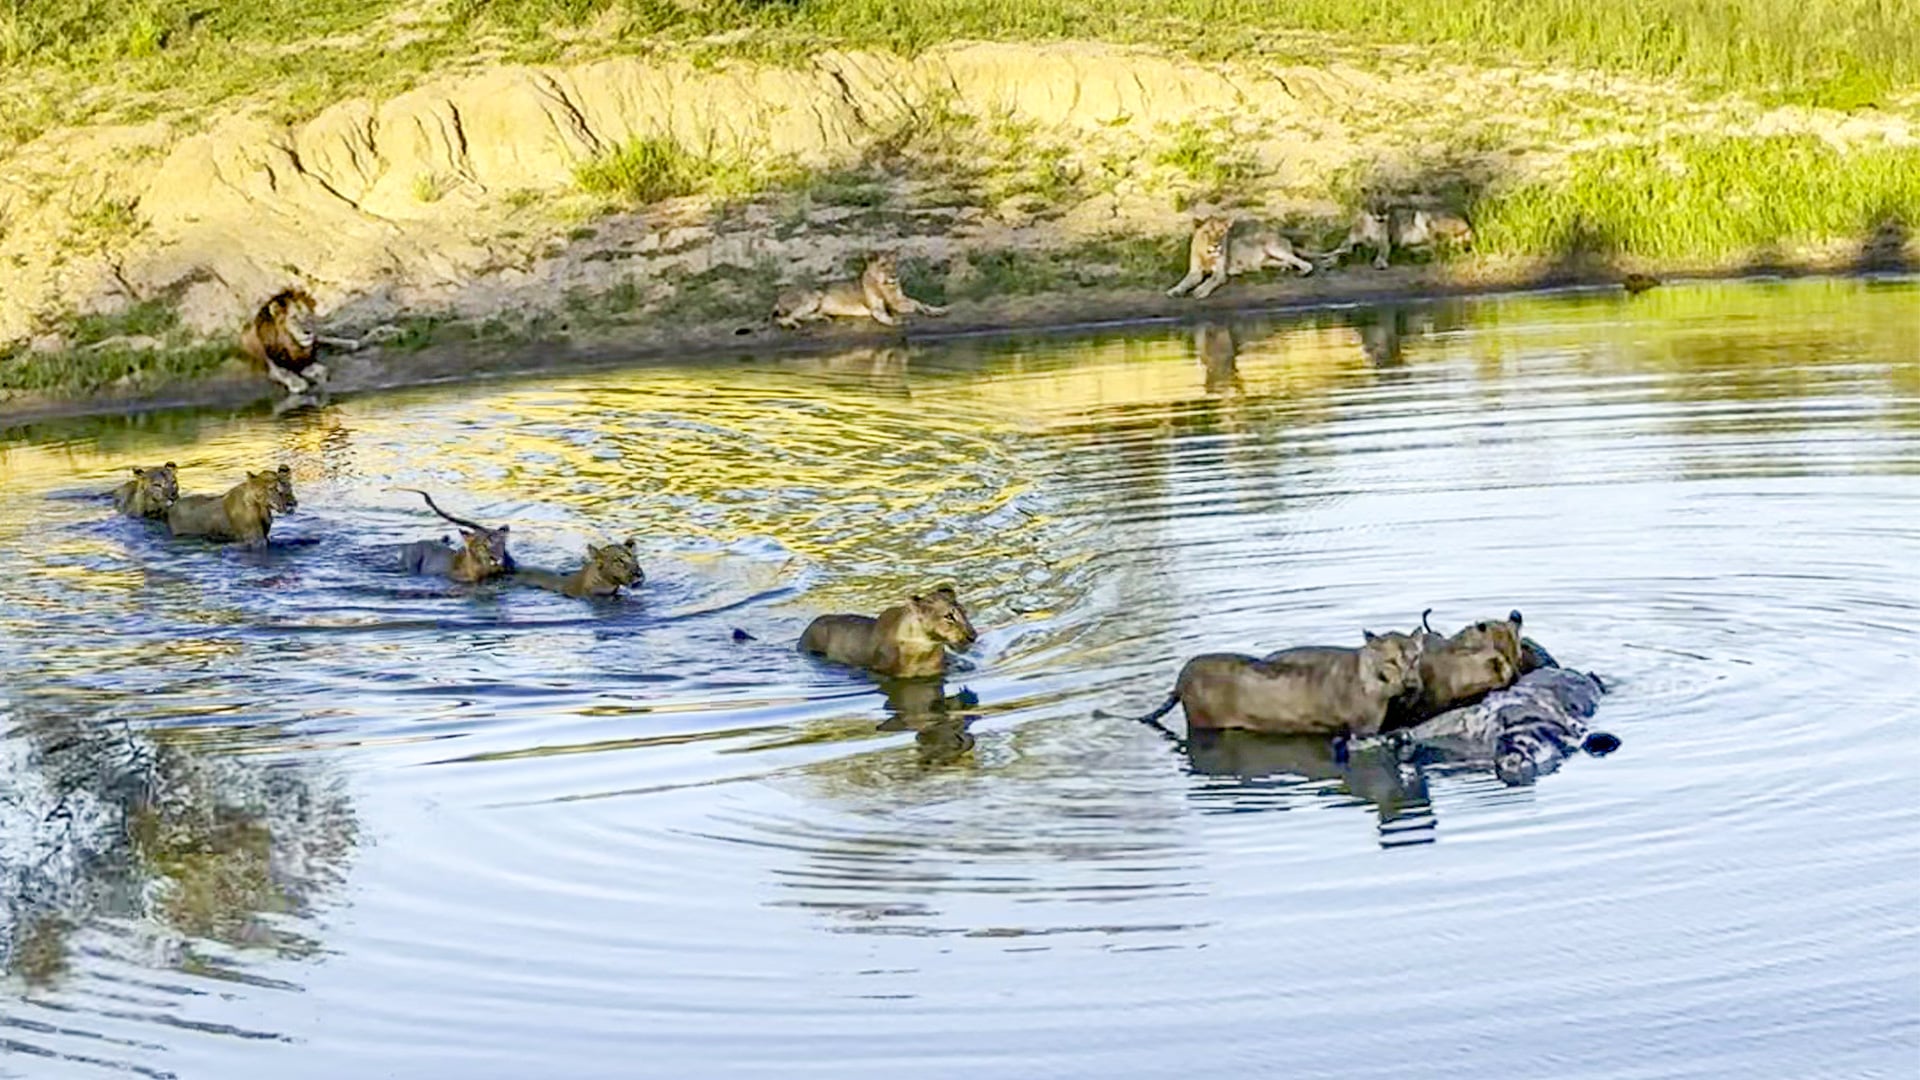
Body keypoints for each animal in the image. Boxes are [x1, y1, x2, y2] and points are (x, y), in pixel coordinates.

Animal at [166, 465, 296, 547]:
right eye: (272, 488)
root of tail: (174, 505)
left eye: (288, 486)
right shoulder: (255, 539)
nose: (292, 503)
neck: (262, 508)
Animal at [771, 253, 947, 329]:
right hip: (814, 296)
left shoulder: (901, 300)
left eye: (894, 264)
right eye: (883, 264)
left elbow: (920, 303)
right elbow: (889, 316)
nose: (894, 275)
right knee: (785, 317)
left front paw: (937, 310)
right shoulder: (878, 309)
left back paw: (822, 317)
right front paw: (897, 321)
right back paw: (794, 323)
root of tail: (780, 296)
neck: (885, 285)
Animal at [1114, 630, 1424, 738]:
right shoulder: (1365, 727)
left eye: (1416, 657)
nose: (1411, 683)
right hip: (1204, 722)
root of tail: (1181, 676)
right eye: (1392, 661)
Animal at [1167, 215, 1316, 299]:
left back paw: (1303, 271)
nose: (1216, 245)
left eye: (1221, 232)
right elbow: (1184, 282)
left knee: (1304, 263)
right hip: (1265, 261)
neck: (1206, 253)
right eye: (1207, 232)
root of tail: (1281, 235)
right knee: (1287, 262)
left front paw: (1200, 290)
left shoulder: (1220, 273)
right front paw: (1174, 291)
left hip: (1271, 246)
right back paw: (1284, 268)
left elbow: (1210, 280)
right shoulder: (1195, 272)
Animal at [1322, 208, 1474, 270]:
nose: (1382, 216)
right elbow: (1337, 250)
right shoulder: (1348, 243)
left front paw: (1380, 263)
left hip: (1421, 216)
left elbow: (1381, 253)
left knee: (1438, 245)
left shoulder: (1384, 243)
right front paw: (1329, 261)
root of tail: (1466, 223)